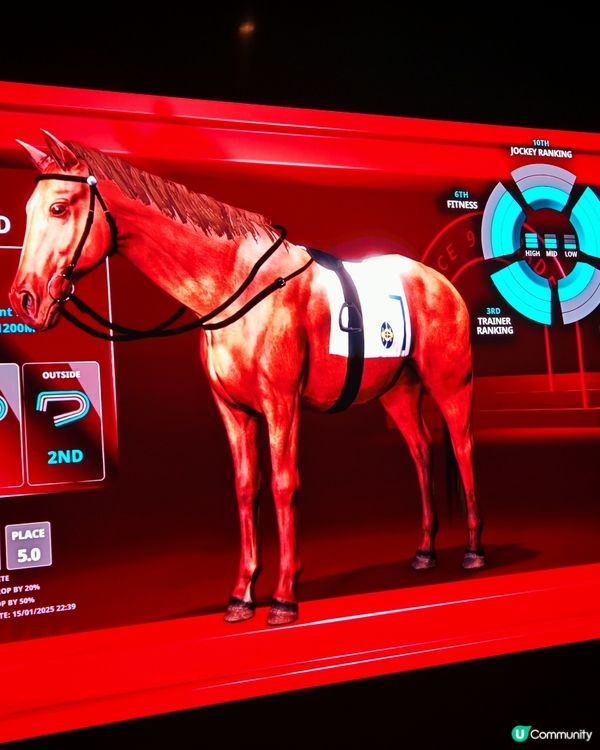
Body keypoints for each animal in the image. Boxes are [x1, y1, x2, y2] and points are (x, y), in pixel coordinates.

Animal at [10, 131, 484, 626]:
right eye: (27, 209)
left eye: (58, 207)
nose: (24, 299)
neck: (239, 284)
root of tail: (440, 283)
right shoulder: (234, 411)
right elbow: (245, 489)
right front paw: (241, 595)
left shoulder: (281, 405)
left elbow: (283, 485)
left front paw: (284, 596)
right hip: (397, 393)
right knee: (422, 453)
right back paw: (425, 551)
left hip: (450, 385)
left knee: (464, 447)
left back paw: (472, 551)